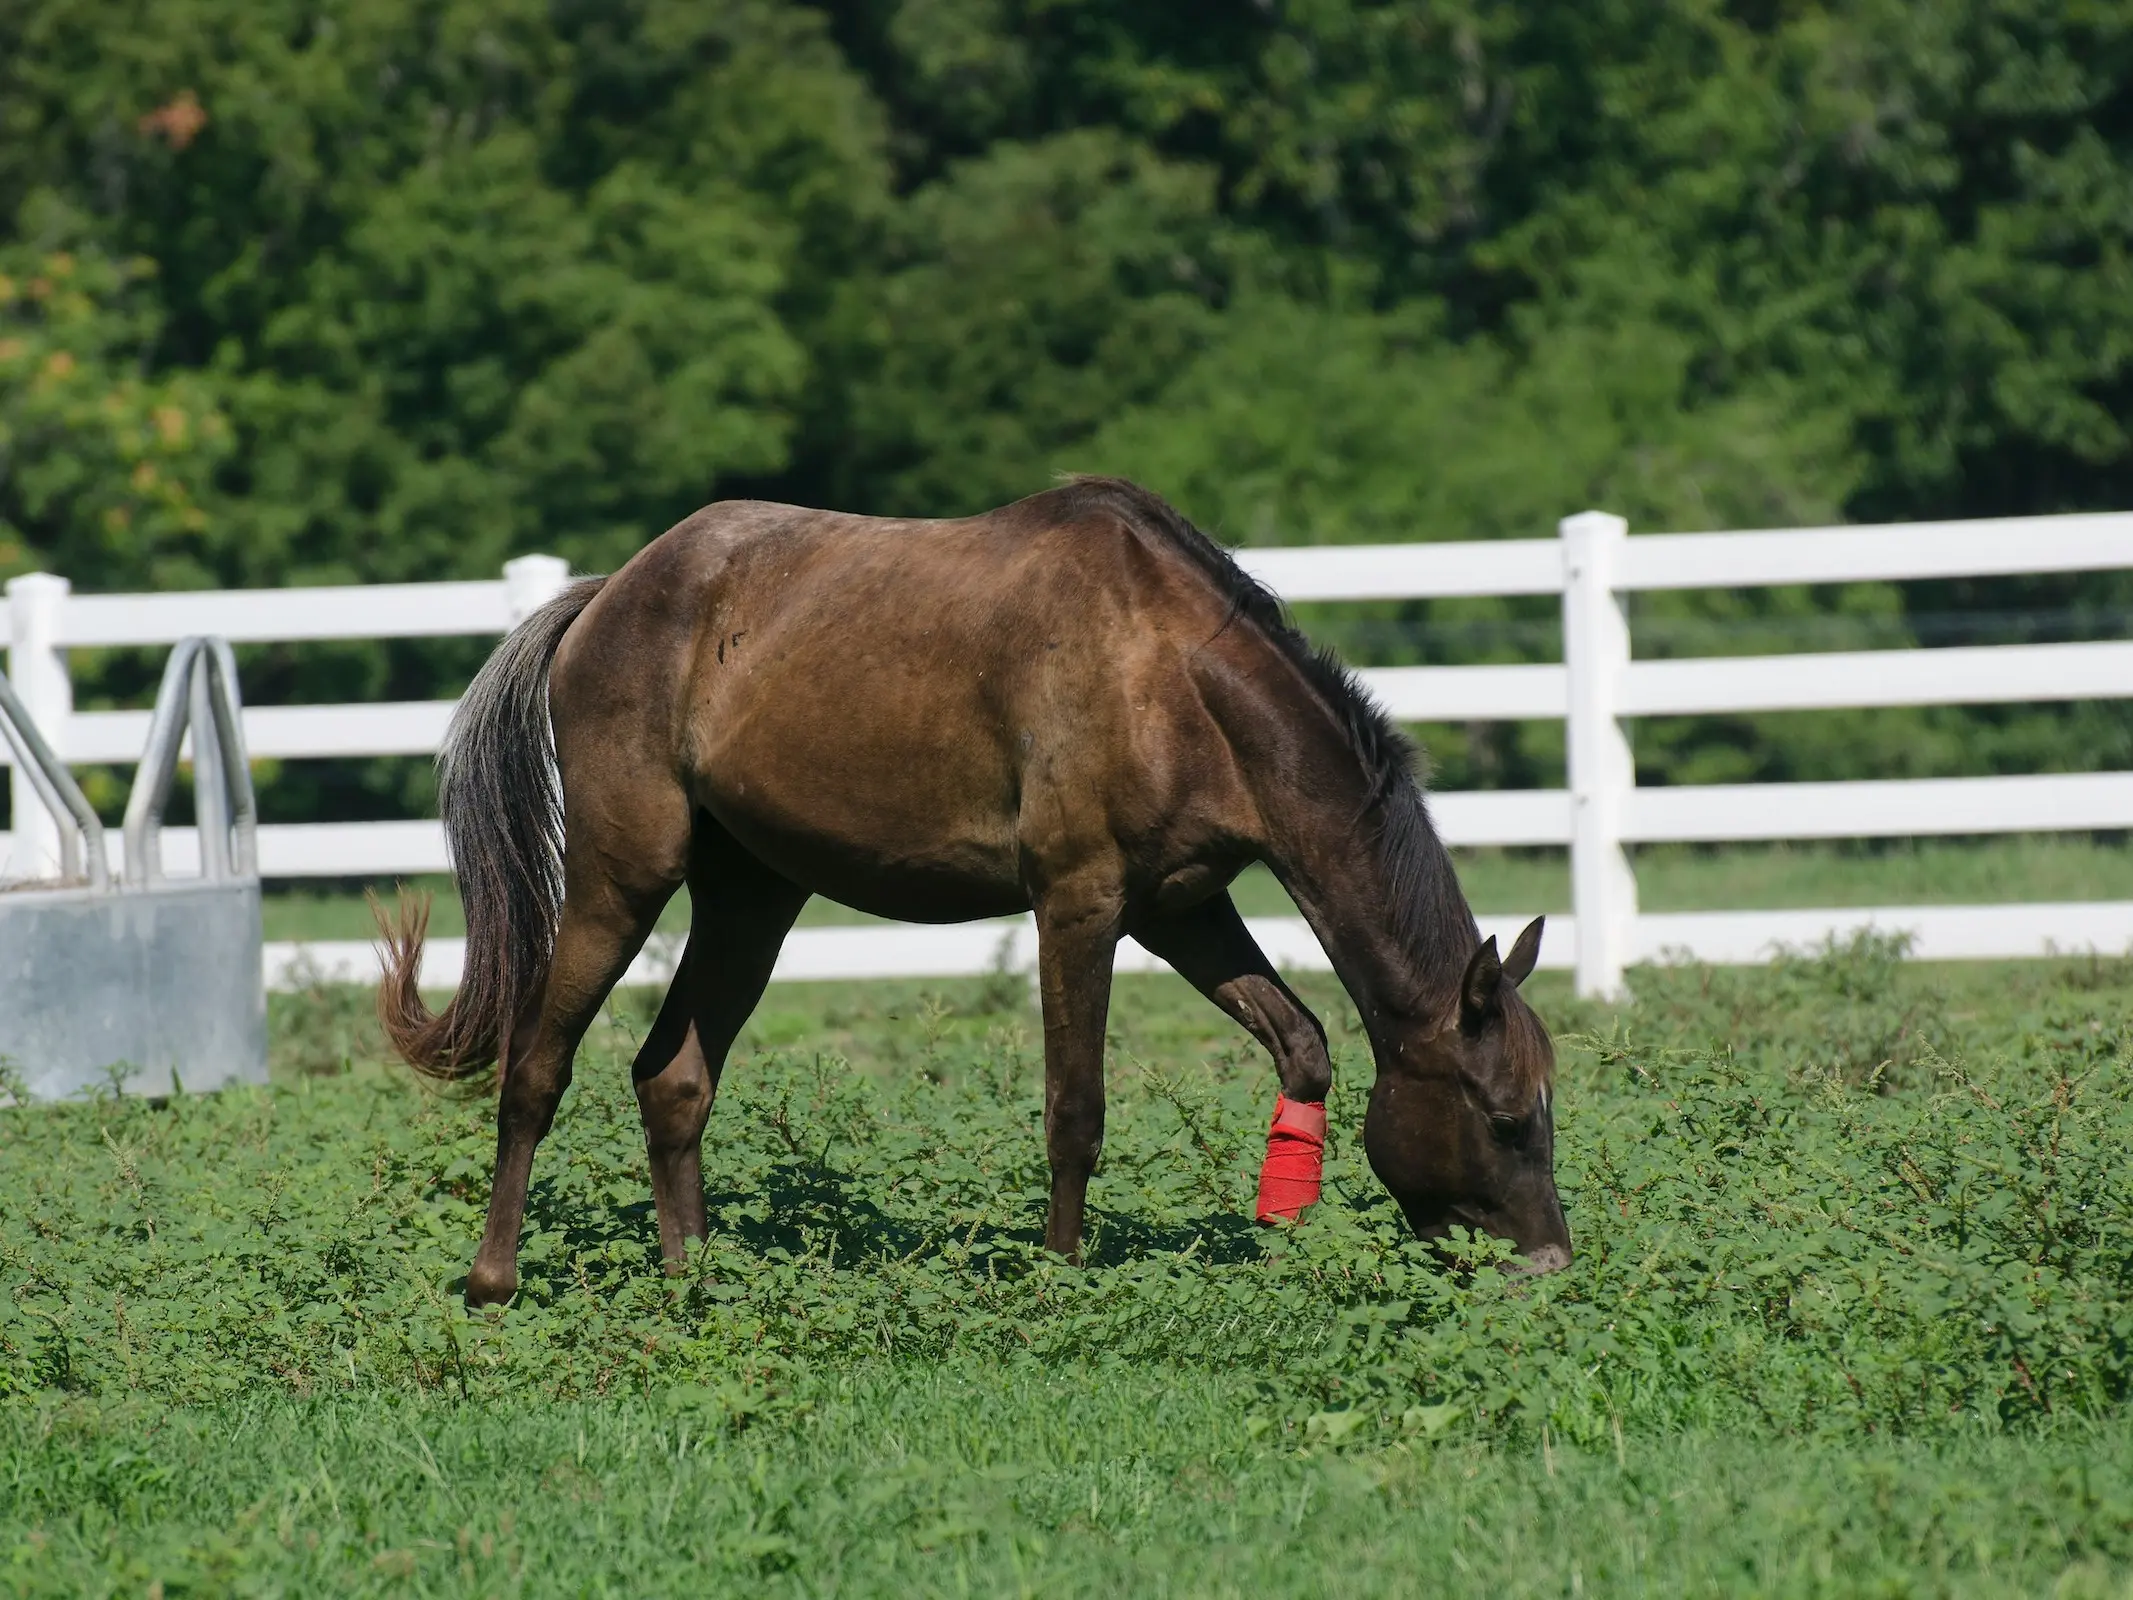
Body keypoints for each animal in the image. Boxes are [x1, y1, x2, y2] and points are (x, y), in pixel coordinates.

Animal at [379, 475, 1569, 1305]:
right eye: (1507, 1117)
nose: (1550, 1264)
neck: (1172, 675)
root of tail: (605, 597)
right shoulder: (1080, 902)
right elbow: (1075, 1108)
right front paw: (1059, 1278)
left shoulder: (1180, 904)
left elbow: (1303, 1046)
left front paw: (1282, 1237)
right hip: (623, 877)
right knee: (537, 1065)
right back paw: (493, 1282)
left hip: (752, 899)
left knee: (672, 1077)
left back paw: (694, 1280)